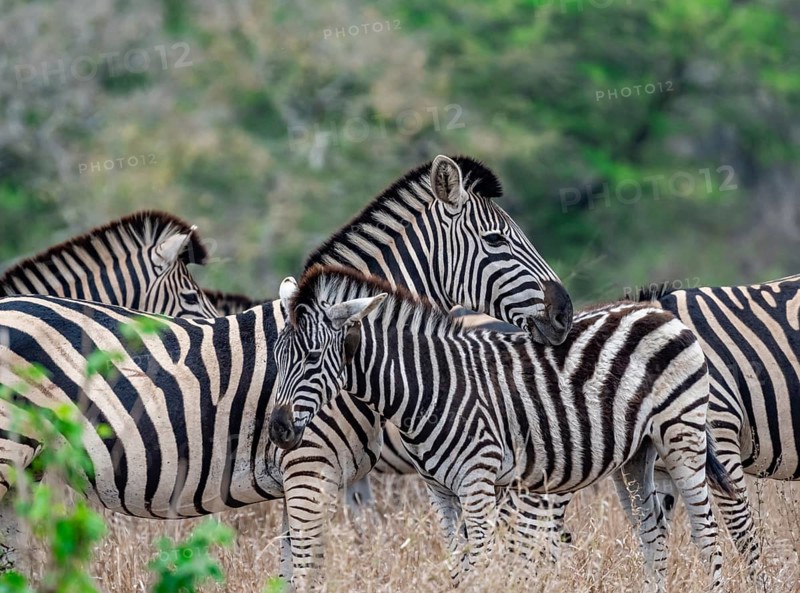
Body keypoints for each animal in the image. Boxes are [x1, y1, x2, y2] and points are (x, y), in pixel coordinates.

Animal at [269, 266, 734, 592]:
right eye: (278, 354)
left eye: (313, 357)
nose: (277, 430)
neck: (428, 386)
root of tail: (653, 309)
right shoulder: (439, 491)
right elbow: (458, 565)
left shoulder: (478, 482)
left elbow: (481, 563)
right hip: (636, 454)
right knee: (652, 532)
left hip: (682, 434)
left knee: (705, 531)